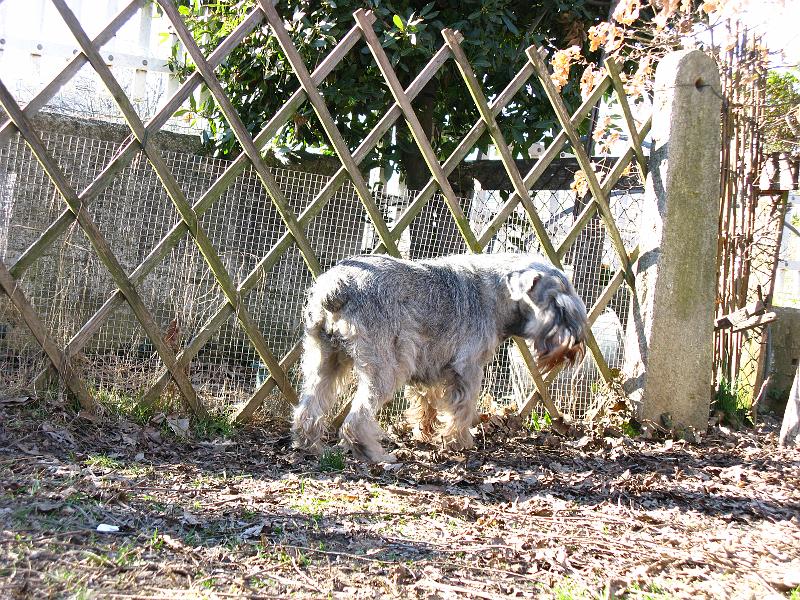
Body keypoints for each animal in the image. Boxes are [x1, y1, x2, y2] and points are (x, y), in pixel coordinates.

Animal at [292, 253, 588, 464]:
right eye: (557, 304)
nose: (576, 342)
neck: (497, 296)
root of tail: (336, 287)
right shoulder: (468, 370)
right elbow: (464, 408)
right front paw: (458, 441)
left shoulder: (429, 368)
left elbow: (428, 404)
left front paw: (425, 433)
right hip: (385, 369)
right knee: (356, 420)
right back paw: (376, 454)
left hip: (325, 360)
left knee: (308, 408)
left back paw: (312, 446)